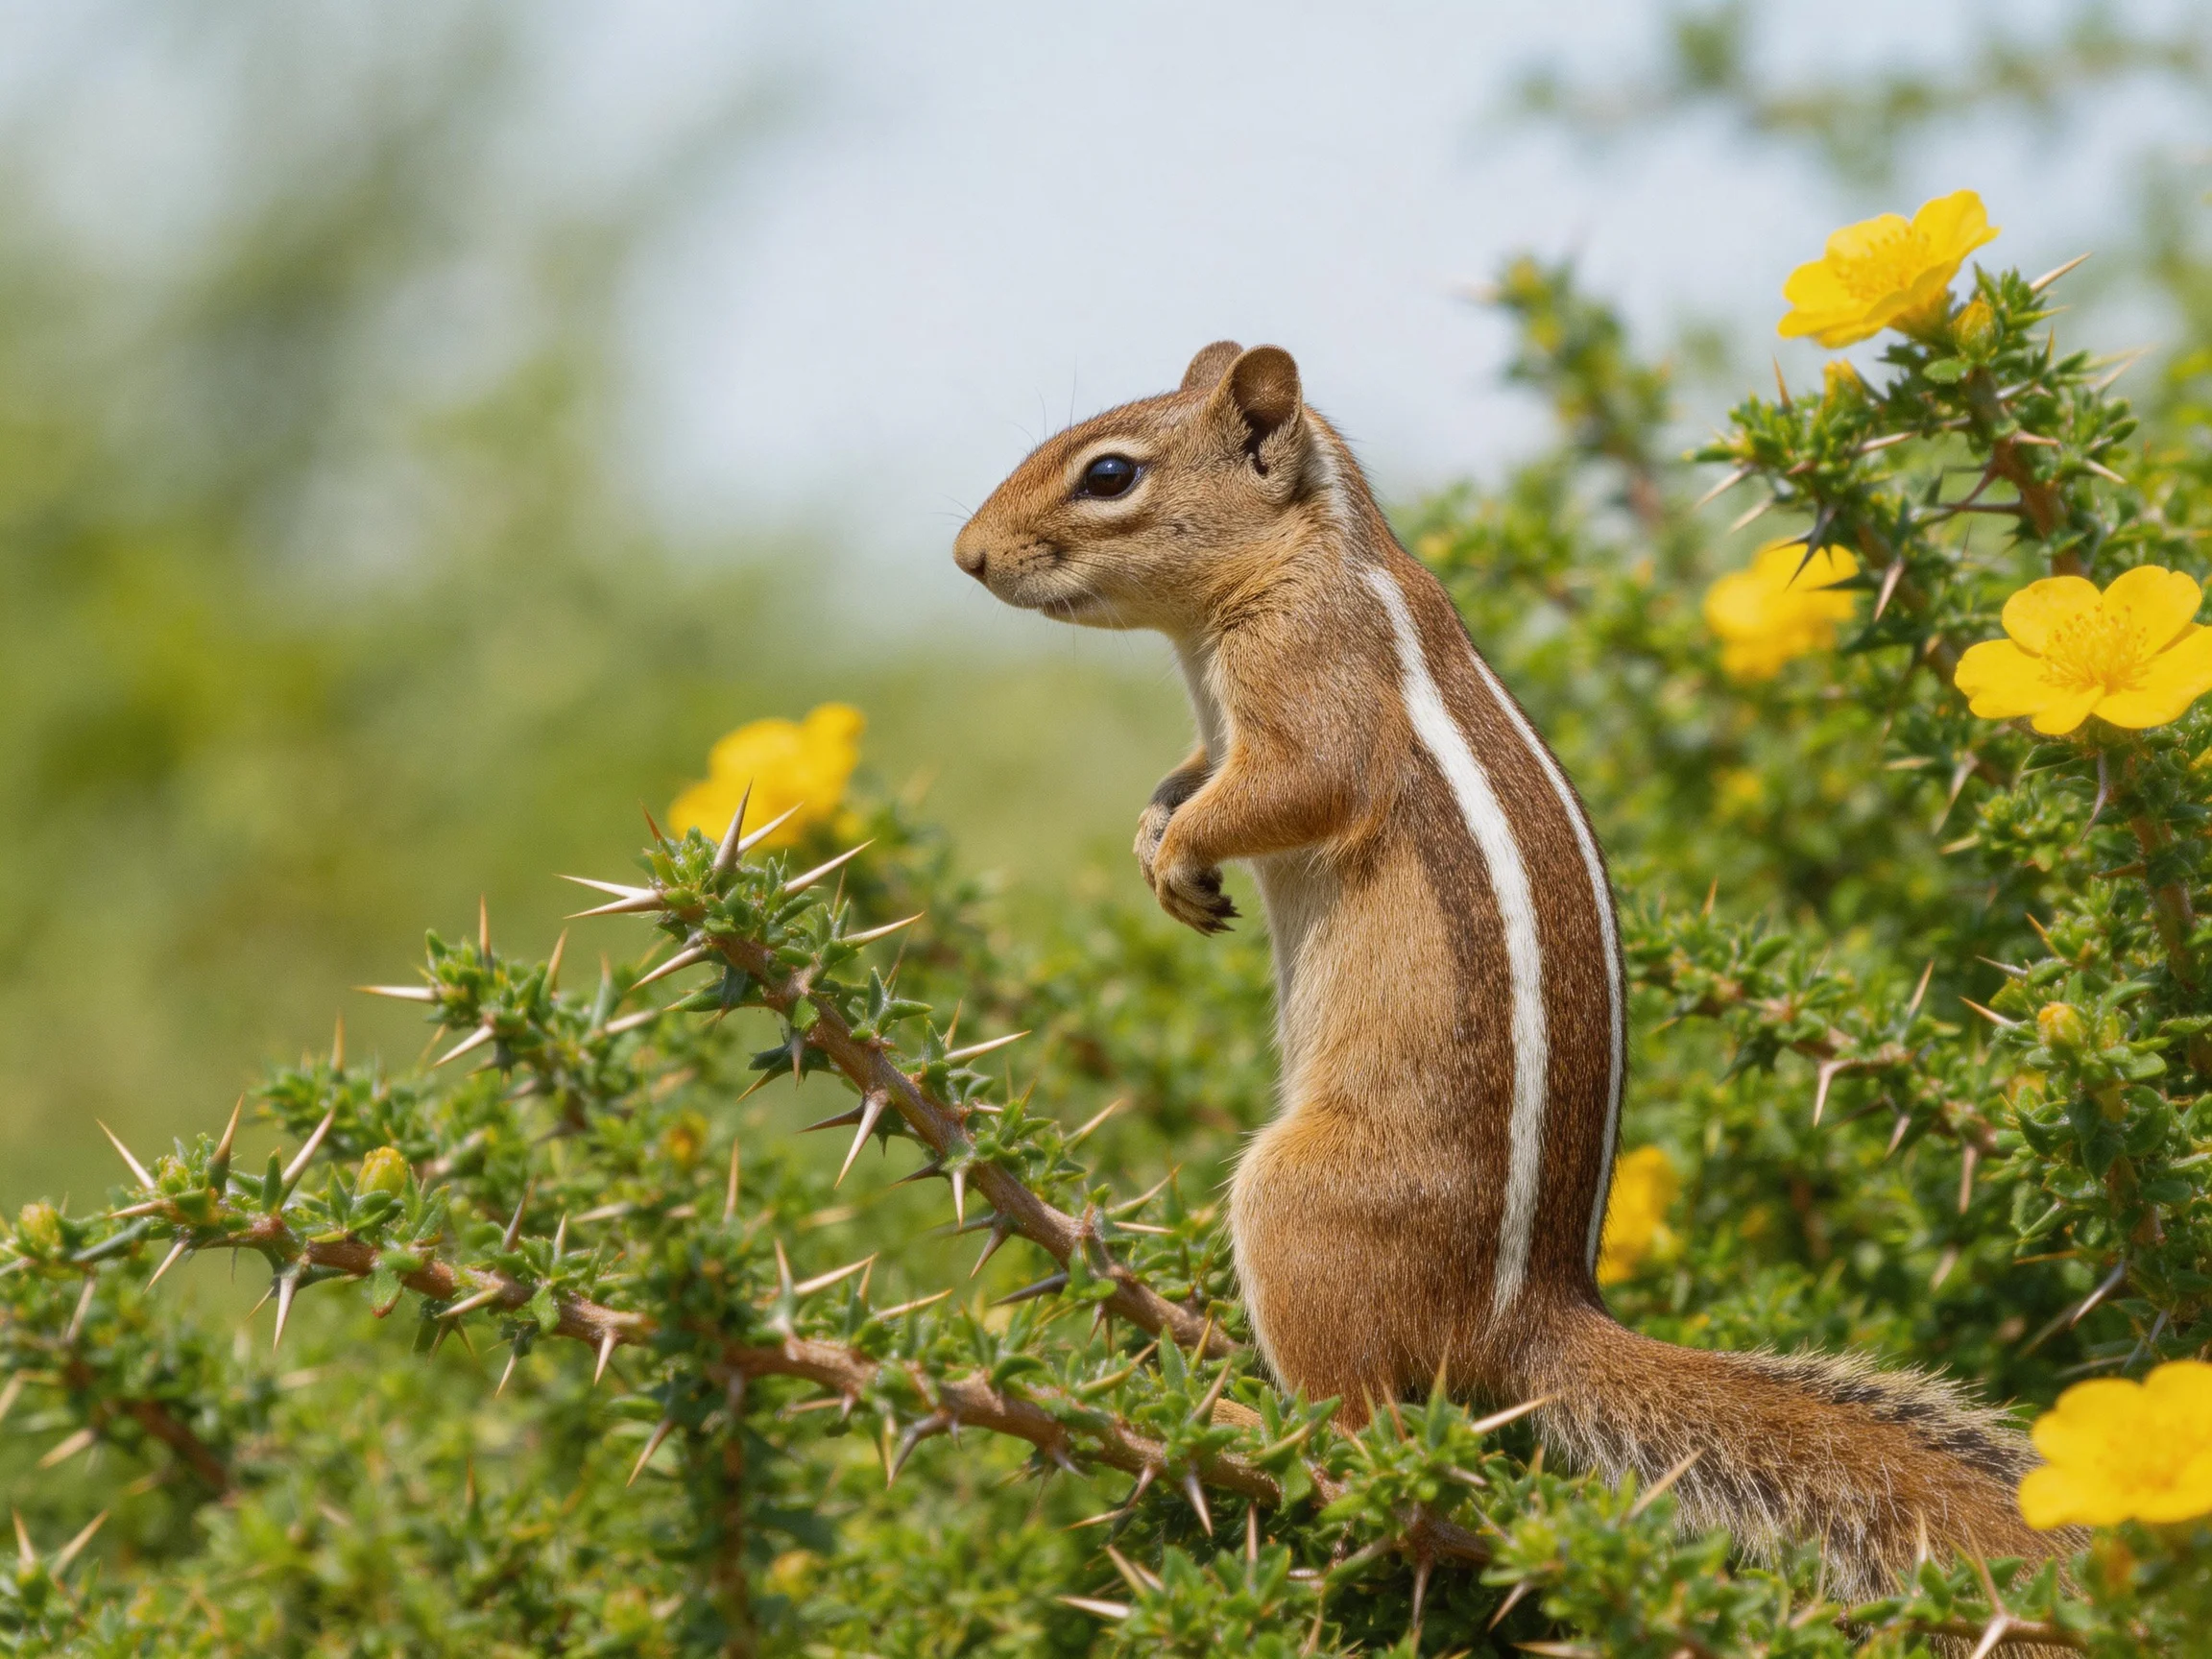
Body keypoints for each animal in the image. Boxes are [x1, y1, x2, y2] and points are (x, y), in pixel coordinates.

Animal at [951, 341, 2066, 1600]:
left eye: (1109, 473)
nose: (968, 554)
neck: (1312, 548)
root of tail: (1531, 1315)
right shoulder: (1217, 727)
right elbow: (1192, 772)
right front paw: (1157, 839)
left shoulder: (1313, 689)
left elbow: (1293, 785)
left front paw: (1183, 846)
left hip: (1293, 1204)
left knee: (1364, 1434)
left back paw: (1239, 1429)